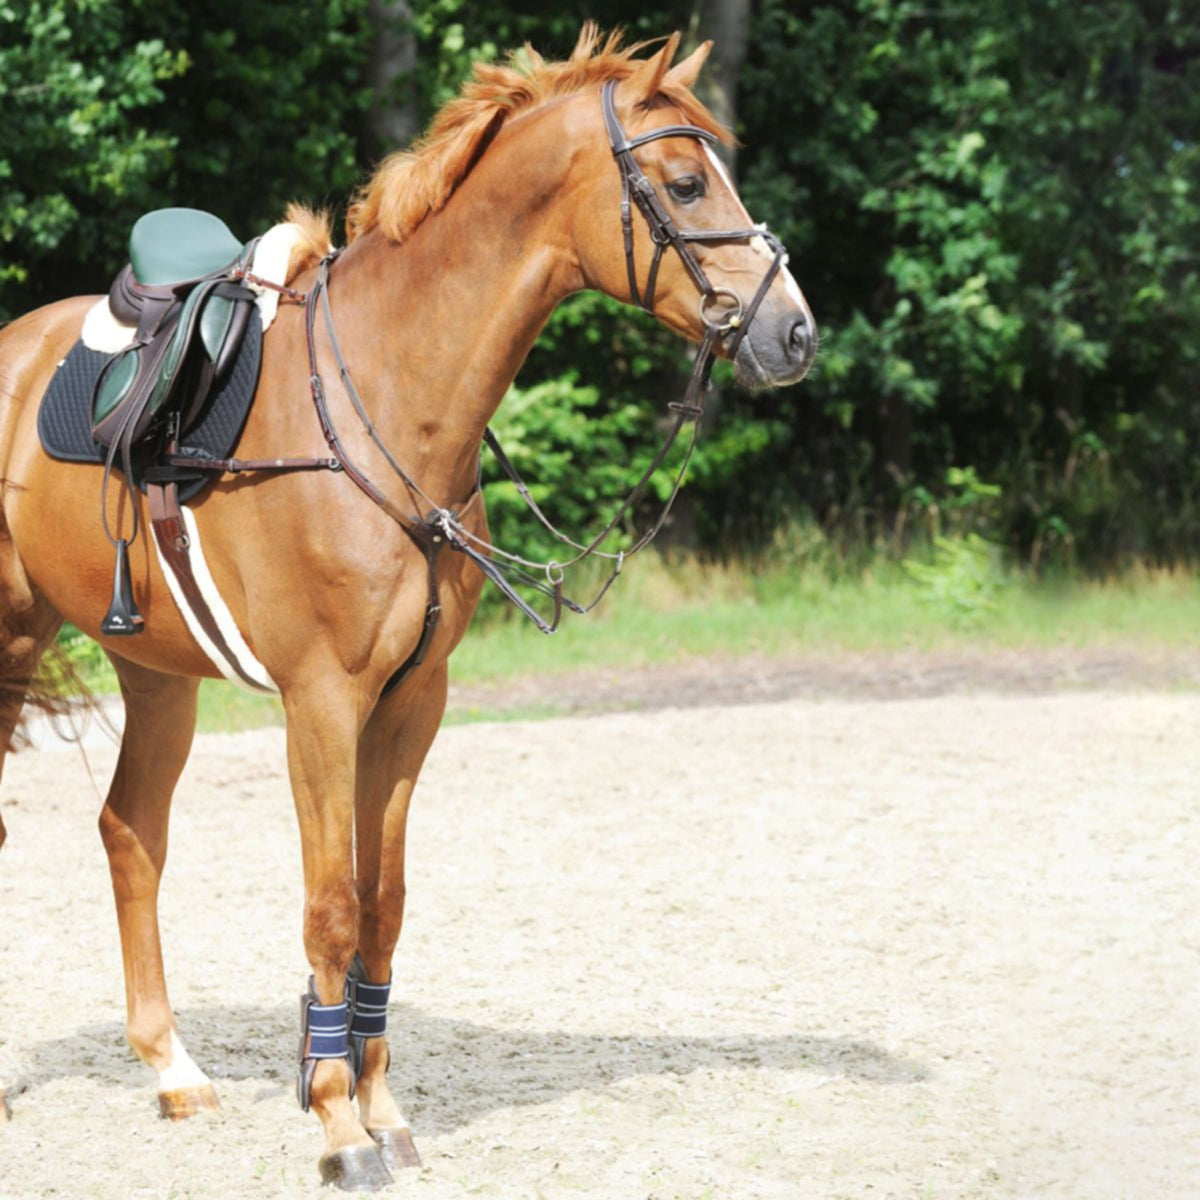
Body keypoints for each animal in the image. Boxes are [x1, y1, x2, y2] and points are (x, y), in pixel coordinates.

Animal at [0, 25, 816, 1190]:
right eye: (685, 181)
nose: (792, 334)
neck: (388, 399)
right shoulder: (321, 704)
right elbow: (333, 906)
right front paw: (337, 1124)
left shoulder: (411, 702)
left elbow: (383, 905)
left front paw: (380, 1111)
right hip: (15, 641)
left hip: (156, 674)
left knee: (131, 833)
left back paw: (173, 1070)